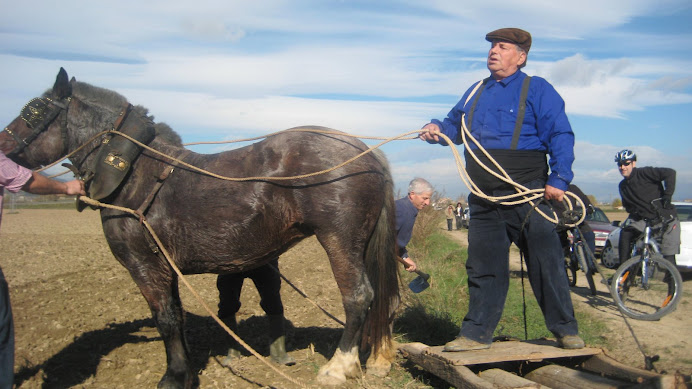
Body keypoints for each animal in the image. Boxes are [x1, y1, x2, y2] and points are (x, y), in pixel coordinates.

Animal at [1, 68, 400, 386]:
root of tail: (365, 151)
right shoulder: (166, 267)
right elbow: (176, 317)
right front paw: (186, 369)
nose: (2, 145)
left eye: (33, 111)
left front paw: (174, 376)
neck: (135, 172)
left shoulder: (145, 265)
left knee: (358, 297)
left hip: (339, 240)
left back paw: (338, 367)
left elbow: (164, 319)